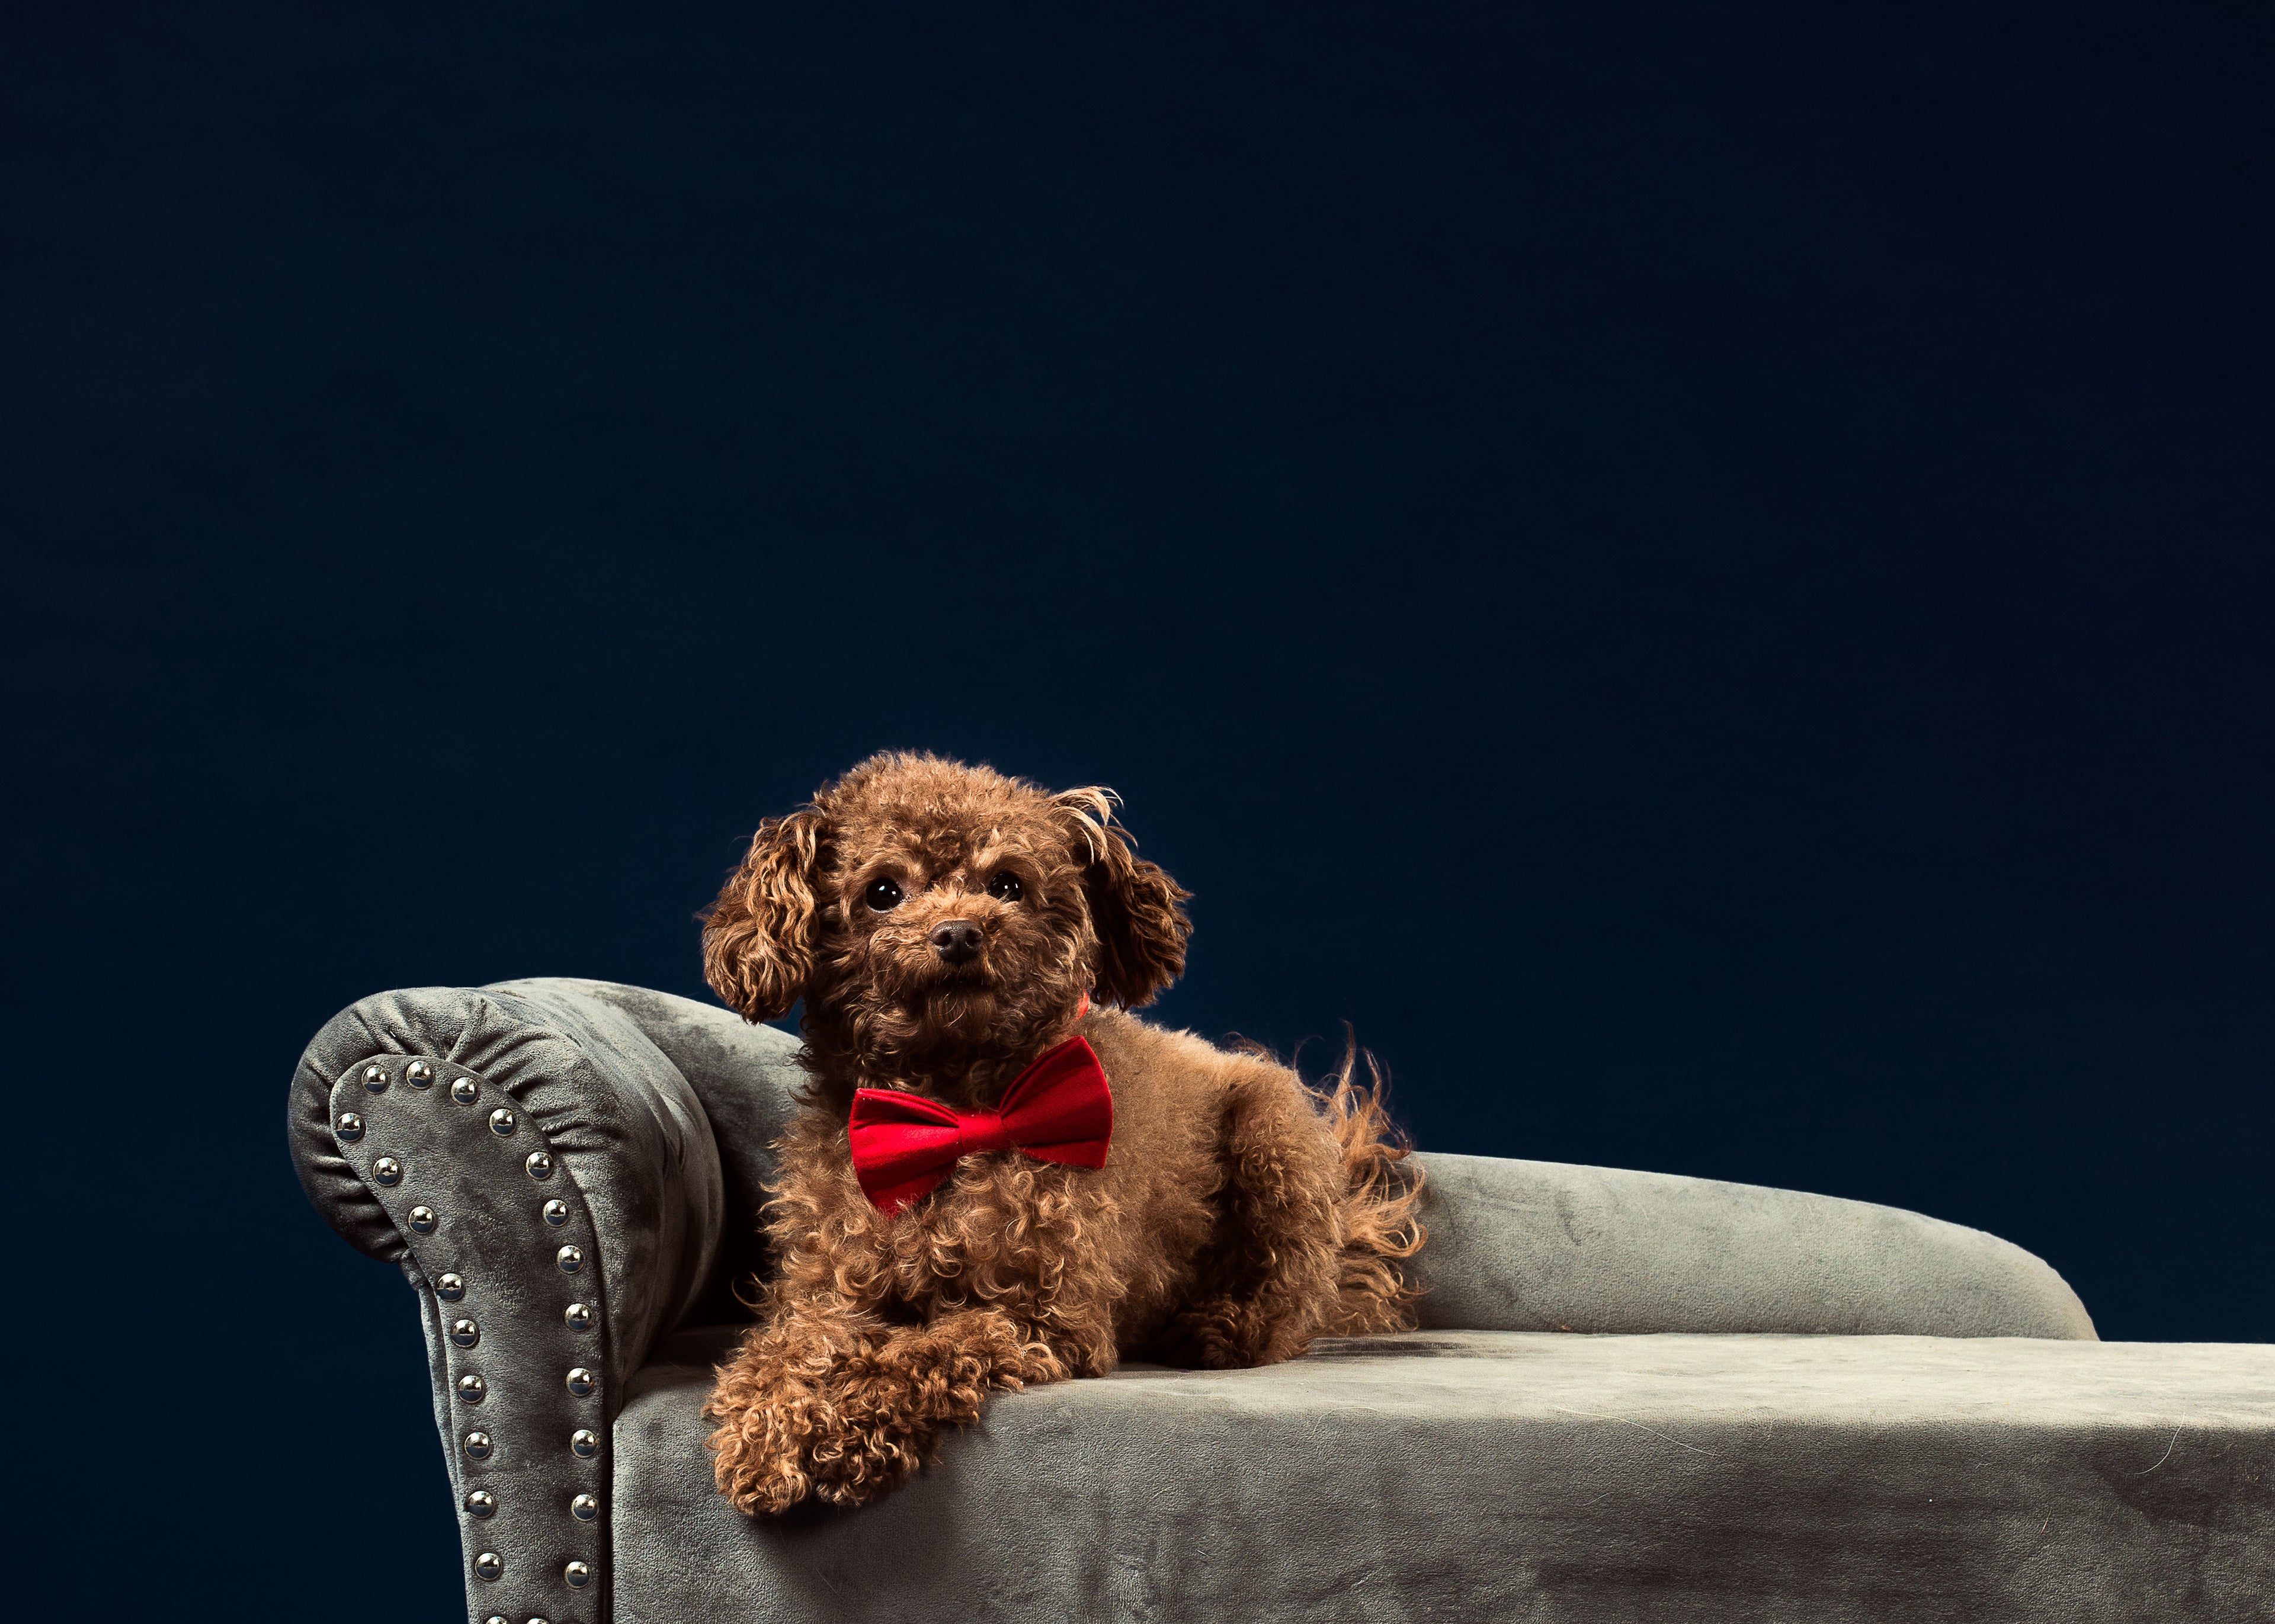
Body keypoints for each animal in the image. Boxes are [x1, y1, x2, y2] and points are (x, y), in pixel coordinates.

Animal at [696, 750, 1420, 1510]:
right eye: (883, 891)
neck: (955, 1117)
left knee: (1287, 1295)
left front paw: (848, 1425)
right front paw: (772, 1430)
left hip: (1274, 1135)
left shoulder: (1047, 1319)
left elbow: (925, 1349)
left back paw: (1219, 1328)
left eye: (1007, 884)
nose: (960, 933)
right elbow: (788, 1350)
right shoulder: (827, 1296)